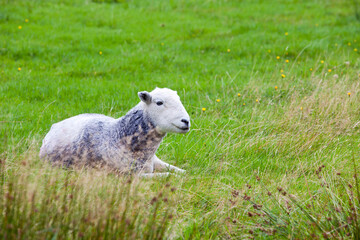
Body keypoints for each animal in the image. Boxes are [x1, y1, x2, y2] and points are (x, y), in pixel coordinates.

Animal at [39, 87, 191, 177]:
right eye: (159, 103)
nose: (186, 121)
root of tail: (55, 126)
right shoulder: (130, 175)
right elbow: (168, 175)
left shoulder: (156, 161)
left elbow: (182, 171)